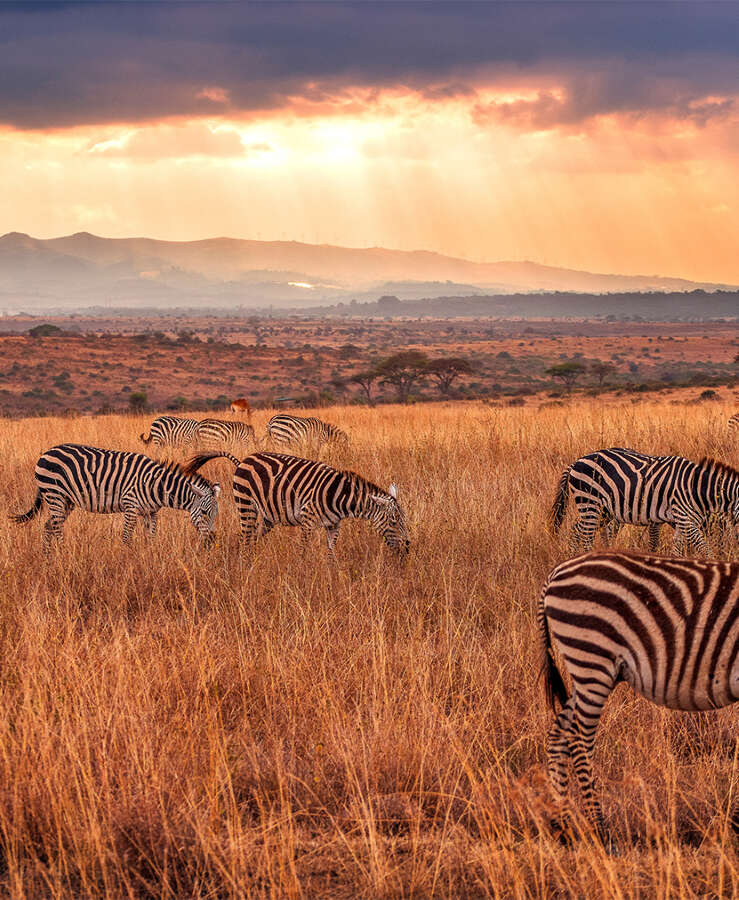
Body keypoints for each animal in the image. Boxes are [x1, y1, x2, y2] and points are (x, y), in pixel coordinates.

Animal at [12, 442, 220, 544]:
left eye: (216, 515)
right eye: (203, 512)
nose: (211, 541)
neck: (157, 485)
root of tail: (47, 452)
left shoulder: (151, 512)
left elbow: (151, 538)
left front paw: (151, 559)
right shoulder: (131, 506)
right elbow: (126, 538)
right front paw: (126, 563)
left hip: (66, 500)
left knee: (48, 526)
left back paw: (49, 560)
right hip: (54, 494)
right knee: (55, 527)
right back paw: (63, 555)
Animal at [182, 450, 408, 556]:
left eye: (403, 521)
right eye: (394, 522)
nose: (407, 549)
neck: (341, 497)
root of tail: (244, 460)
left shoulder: (334, 525)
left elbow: (331, 552)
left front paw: (331, 576)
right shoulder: (308, 519)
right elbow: (303, 550)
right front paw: (303, 575)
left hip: (266, 517)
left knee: (252, 538)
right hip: (246, 505)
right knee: (245, 538)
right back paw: (245, 565)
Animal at [536, 548, 739, 844]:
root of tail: (555, 573)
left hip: (587, 673)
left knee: (558, 734)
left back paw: (561, 826)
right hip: (592, 660)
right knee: (580, 741)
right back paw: (599, 829)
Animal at [552, 444, 736, 556]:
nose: (728, 555)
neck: (694, 488)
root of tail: (576, 462)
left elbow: (678, 545)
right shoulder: (661, 515)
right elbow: (658, 543)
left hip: (602, 510)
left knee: (577, 530)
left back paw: (574, 556)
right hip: (590, 502)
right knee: (586, 534)